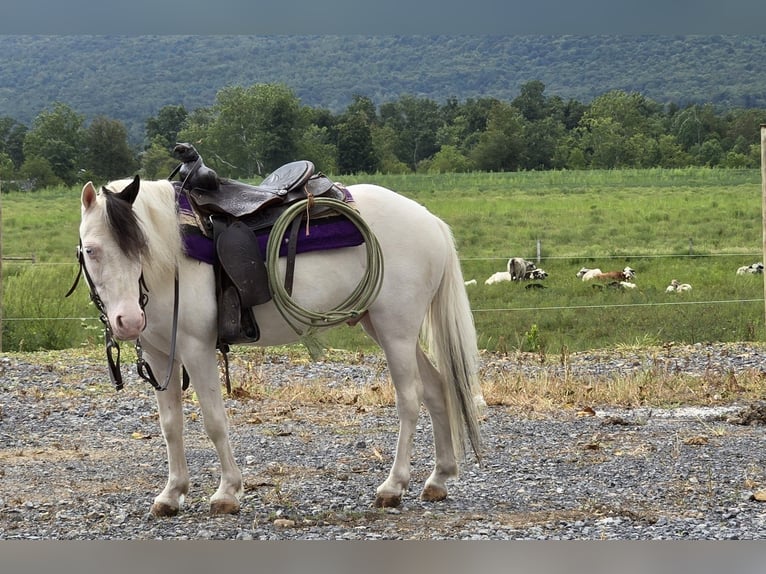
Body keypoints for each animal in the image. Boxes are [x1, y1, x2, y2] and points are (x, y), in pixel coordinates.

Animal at [75, 175, 483, 516]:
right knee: (436, 388)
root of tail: (429, 221)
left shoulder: (196, 349)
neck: (172, 260)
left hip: (396, 329)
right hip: (387, 328)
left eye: (140, 245)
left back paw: (393, 487)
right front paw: (171, 494)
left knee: (410, 400)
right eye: (91, 250)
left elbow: (214, 422)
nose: (128, 321)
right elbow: (170, 425)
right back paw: (438, 478)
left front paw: (227, 492)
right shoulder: (160, 355)